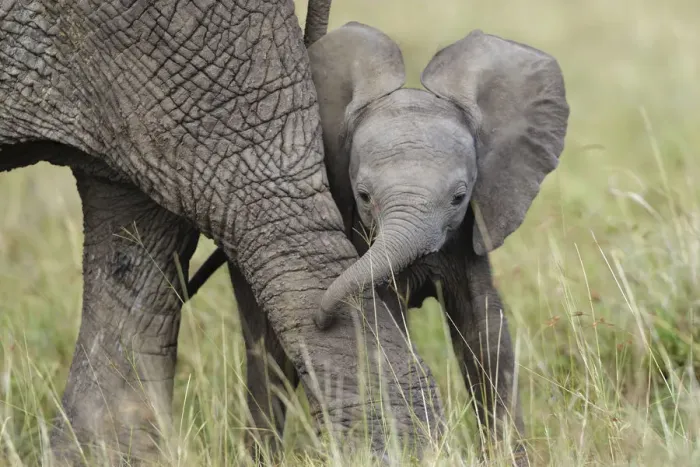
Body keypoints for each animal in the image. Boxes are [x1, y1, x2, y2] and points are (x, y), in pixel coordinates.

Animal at [189, 21, 569, 465]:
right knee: (267, 355)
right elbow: (390, 314)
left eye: (459, 197)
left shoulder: (466, 234)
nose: (322, 317)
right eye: (364, 196)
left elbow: (485, 329)